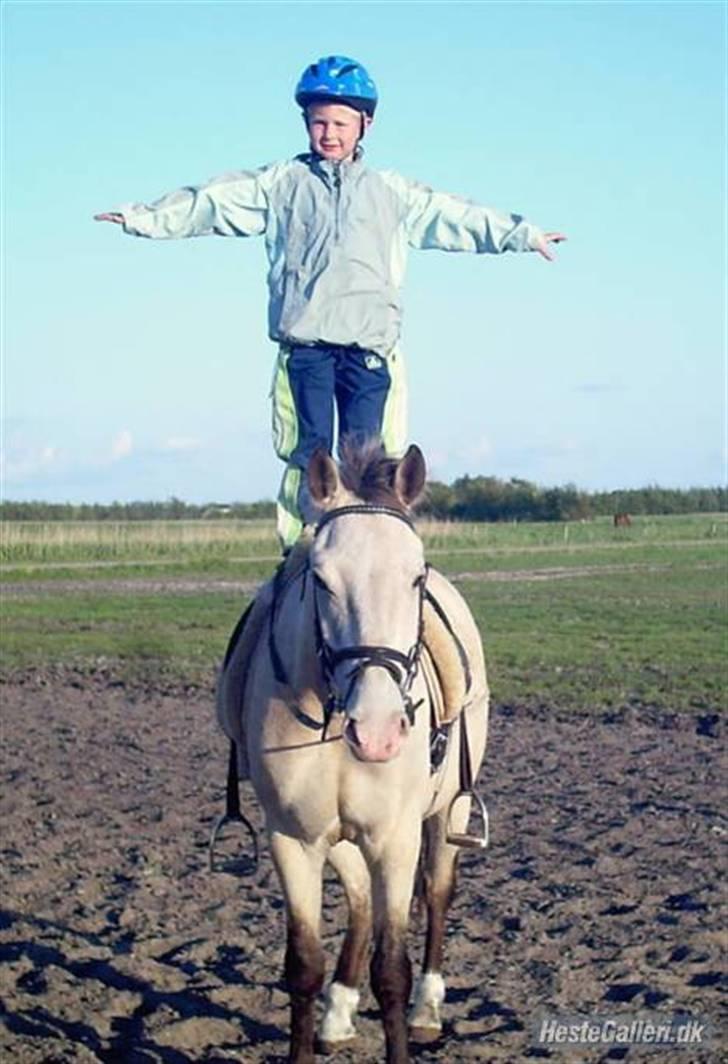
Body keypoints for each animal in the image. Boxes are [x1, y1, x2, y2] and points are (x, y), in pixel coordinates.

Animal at [216, 444, 489, 1064]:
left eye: (416, 576)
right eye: (320, 579)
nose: (379, 731)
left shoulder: (395, 837)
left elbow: (392, 971)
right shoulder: (293, 839)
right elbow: (302, 965)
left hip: (448, 811)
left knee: (438, 892)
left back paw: (427, 1009)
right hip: (336, 835)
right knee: (360, 898)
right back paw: (338, 1012)